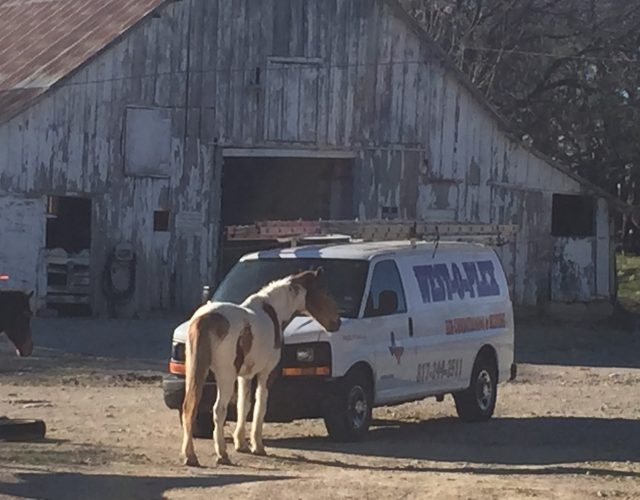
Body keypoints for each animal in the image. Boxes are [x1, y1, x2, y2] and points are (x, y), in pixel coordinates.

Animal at [180, 268, 340, 466]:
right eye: (324, 292)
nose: (337, 322)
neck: (273, 312)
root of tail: (205, 319)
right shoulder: (266, 375)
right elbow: (260, 405)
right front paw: (258, 446)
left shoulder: (244, 377)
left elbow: (243, 405)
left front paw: (241, 444)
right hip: (224, 376)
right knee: (218, 410)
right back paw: (222, 455)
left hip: (194, 372)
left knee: (189, 407)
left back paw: (190, 455)